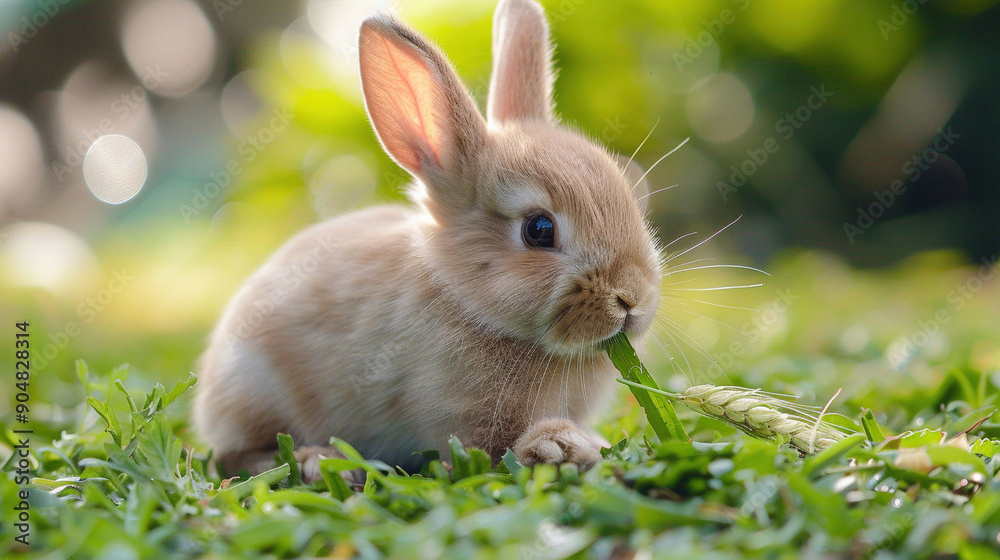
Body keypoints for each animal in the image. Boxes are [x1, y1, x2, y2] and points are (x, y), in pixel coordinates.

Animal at [193, 0, 662, 483]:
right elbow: (493, 451)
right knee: (237, 457)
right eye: (539, 229)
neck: (468, 301)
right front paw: (555, 446)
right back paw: (316, 462)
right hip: (253, 389)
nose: (632, 297)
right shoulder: (465, 416)